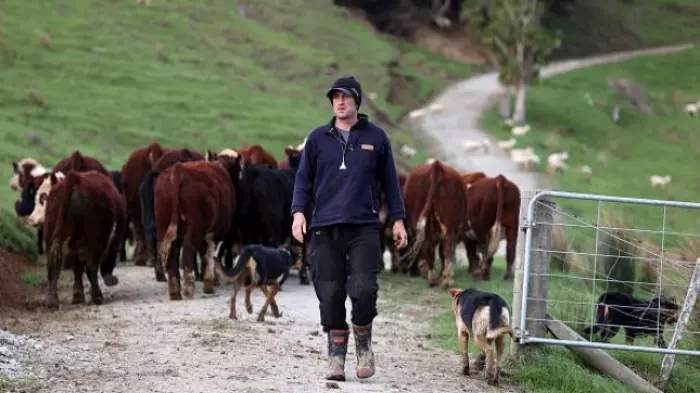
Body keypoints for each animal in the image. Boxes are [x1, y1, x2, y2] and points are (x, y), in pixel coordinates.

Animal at [43, 172, 126, 310]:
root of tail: (76, 177)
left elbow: (77, 268)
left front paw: (78, 296)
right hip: (95, 239)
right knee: (92, 267)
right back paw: (97, 296)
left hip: (53, 236)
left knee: (53, 263)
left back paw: (52, 301)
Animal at [153, 155, 241, 298]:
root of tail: (179, 170)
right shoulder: (217, 231)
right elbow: (211, 254)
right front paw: (210, 283)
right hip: (195, 228)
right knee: (188, 249)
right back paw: (188, 288)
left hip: (163, 224)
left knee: (171, 253)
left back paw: (175, 291)